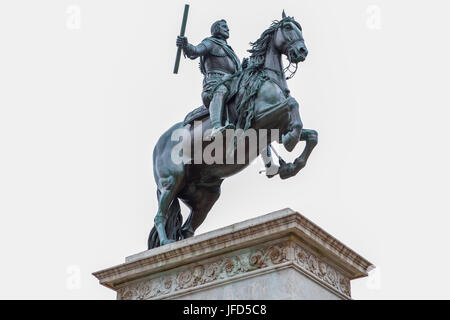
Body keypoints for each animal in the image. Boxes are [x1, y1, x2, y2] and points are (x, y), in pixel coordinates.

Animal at [149, 11, 318, 248]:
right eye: (288, 28)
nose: (302, 51)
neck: (265, 78)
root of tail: (158, 146)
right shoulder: (259, 121)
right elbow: (293, 104)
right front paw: (290, 141)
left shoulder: (278, 125)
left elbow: (311, 134)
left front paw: (292, 164)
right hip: (171, 182)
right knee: (160, 215)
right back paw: (166, 242)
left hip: (205, 194)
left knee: (187, 229)